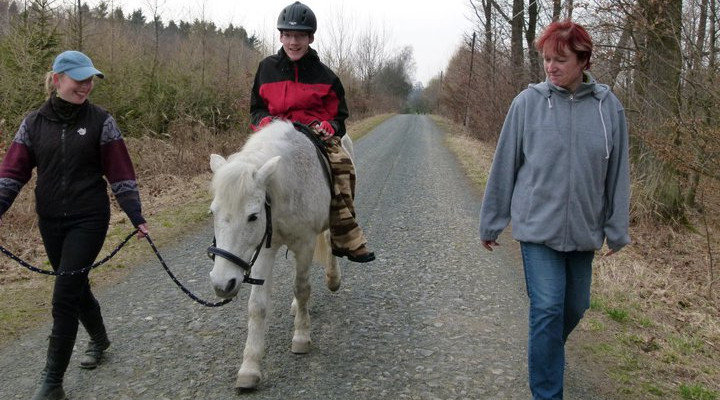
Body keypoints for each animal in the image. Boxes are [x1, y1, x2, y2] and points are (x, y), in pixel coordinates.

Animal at [207, 120, 350, 390]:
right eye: (212, 212)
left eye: (253, 216)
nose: (222, 284)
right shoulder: (265, 248)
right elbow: (257, 306)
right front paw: (250, 367)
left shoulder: (305, 244)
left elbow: (302, 288)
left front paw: (301, 337)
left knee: (328, 242)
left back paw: (333, 279)